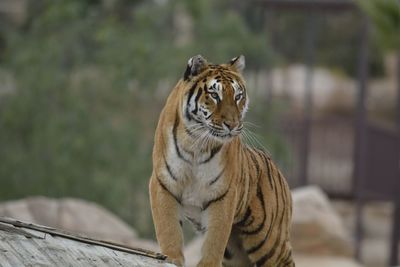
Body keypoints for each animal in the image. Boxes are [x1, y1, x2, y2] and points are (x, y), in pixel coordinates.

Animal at [148, 55, 296, 267]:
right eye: (214, 95)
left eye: (238, 96)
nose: (232, 125)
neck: (195, 144)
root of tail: (280, 173)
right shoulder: (163, 184)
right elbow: (168, 228)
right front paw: (171, 257)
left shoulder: (223, 194)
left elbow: (215, 238)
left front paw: (207, 264)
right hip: (236, 252)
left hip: (269, 242)